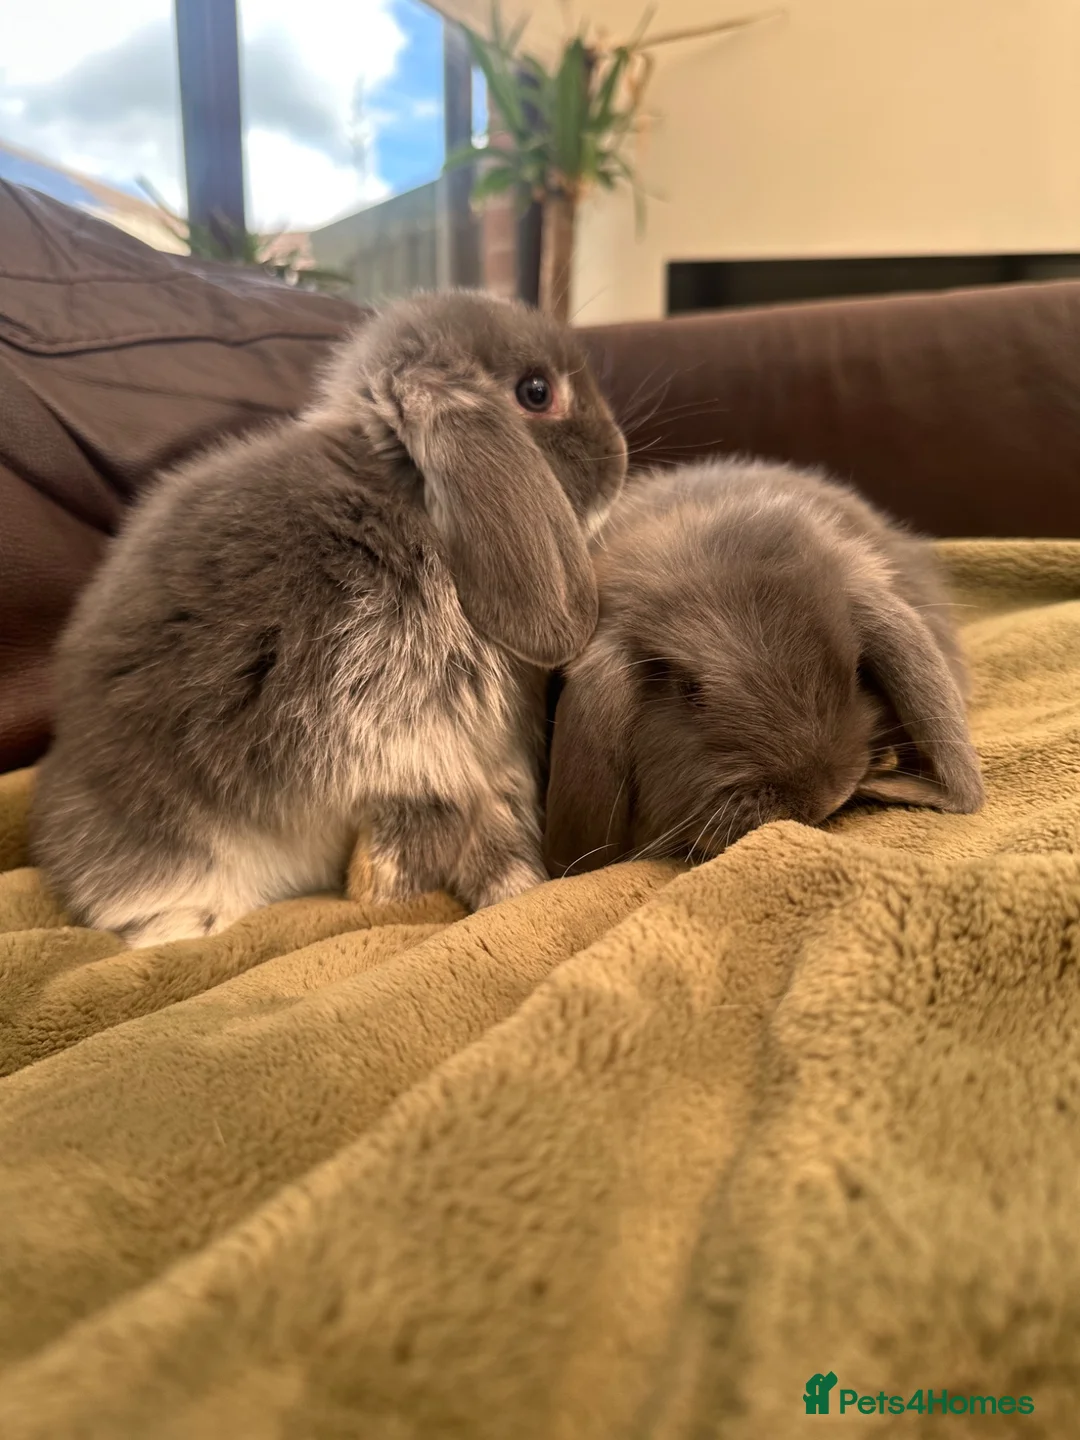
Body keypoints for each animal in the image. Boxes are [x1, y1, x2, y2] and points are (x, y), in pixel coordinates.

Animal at [30, 290, 628, 946]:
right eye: (536, 392)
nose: (620, 457)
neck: (409, 506)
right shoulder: (384, 731)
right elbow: (427, 805)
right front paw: (387, 885)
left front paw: (502, 883)